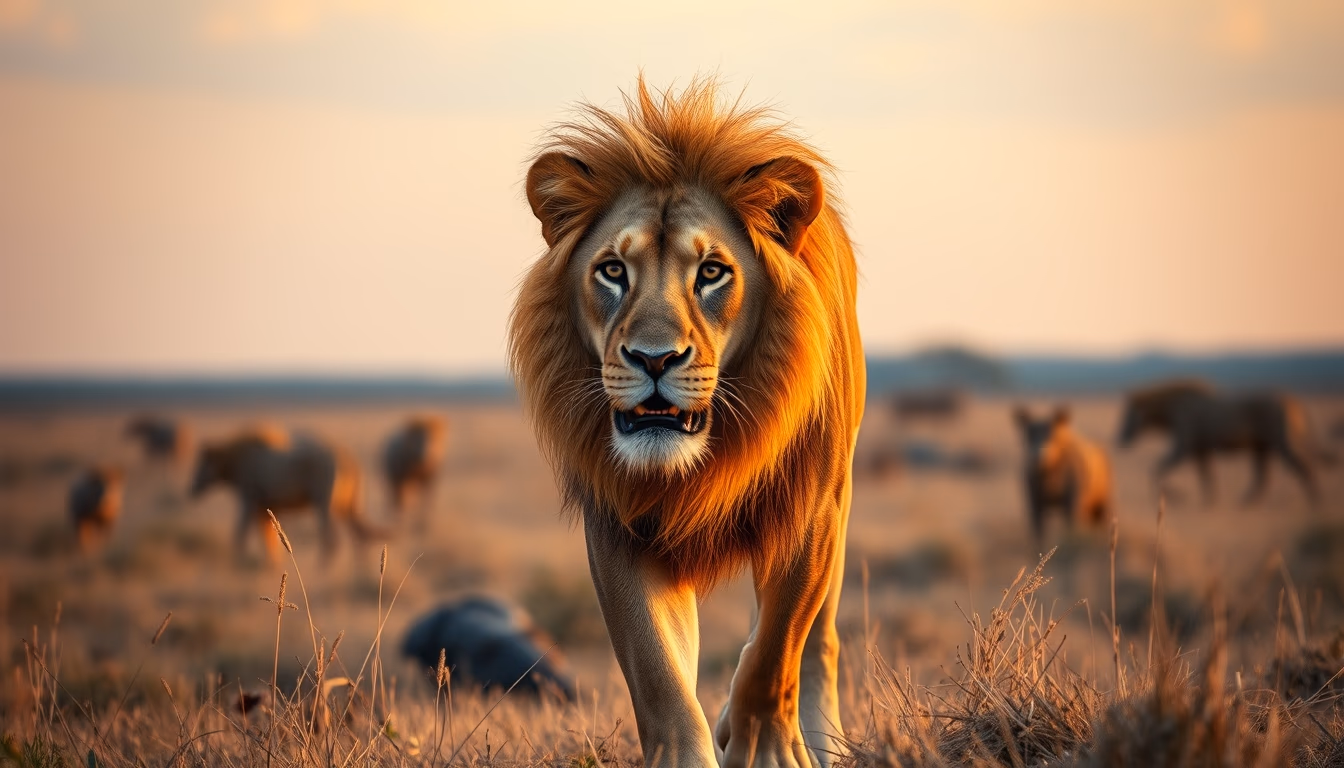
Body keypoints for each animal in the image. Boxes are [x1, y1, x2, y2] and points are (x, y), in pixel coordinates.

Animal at [189, 426, 376, 561]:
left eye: (201, 463)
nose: (192, 487)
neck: (235, 462)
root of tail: (344, 454)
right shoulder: (265, 507)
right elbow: (269, 541)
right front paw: (271, 566)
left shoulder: (249, 500)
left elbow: (240, 534)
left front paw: (239, 560)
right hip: (342, 506)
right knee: (357, 537)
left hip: (324, 503)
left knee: (332, 541)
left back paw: (322, 571)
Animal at [508, 78, 865, 768]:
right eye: (613, 271)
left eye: (712, 272)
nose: (653, 359)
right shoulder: (619, 518)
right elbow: (657, 669)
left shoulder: (812, 511)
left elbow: (776, 649)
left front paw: (768, 750)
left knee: (818, 641)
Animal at [1013, 406, 1111, 541]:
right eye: (1028, 436)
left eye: (1052, 435)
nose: (1039, 457)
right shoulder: (1034, 504)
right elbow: (1039, 536)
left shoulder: (1071, 503)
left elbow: (1070, 528)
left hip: (1103, 504)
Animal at [1117, 379, 1334, 504]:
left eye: (1127, 415)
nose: (1118, 437)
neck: (1170, 410)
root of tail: (1290, 398)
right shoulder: (1200, 450)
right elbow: (1207, 477)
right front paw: (1209, 502)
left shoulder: (1183, 447)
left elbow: (1156, 469)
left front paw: (1176, 497)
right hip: (1261, 447)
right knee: (1262, 478)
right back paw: (1245, 502)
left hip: (1282, 443)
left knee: (1304, 467)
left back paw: (1316, 501)